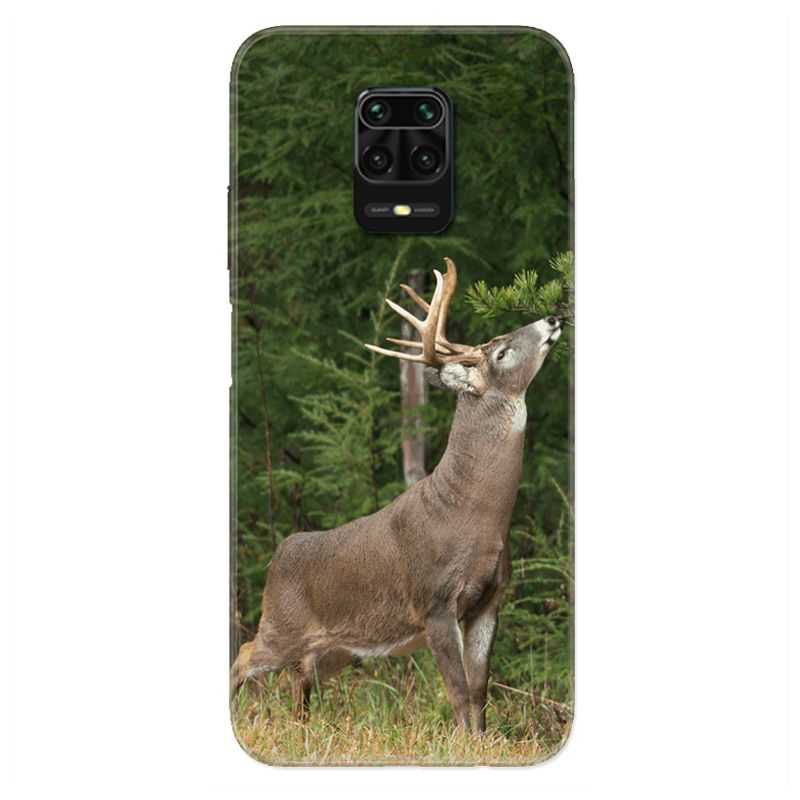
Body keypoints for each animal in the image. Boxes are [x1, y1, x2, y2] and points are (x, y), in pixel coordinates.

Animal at [231, 257, 562, 732]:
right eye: (501, 352)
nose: (553, 318)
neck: (475, 515)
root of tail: (278, 555)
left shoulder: (489, 600)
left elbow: (480, 691)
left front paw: (483, 741)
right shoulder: (435, 602)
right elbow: (458, 691)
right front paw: (463, 743)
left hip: (333, 649)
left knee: (299, 680)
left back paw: (303, 728)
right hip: (281, 623)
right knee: (244, 655)